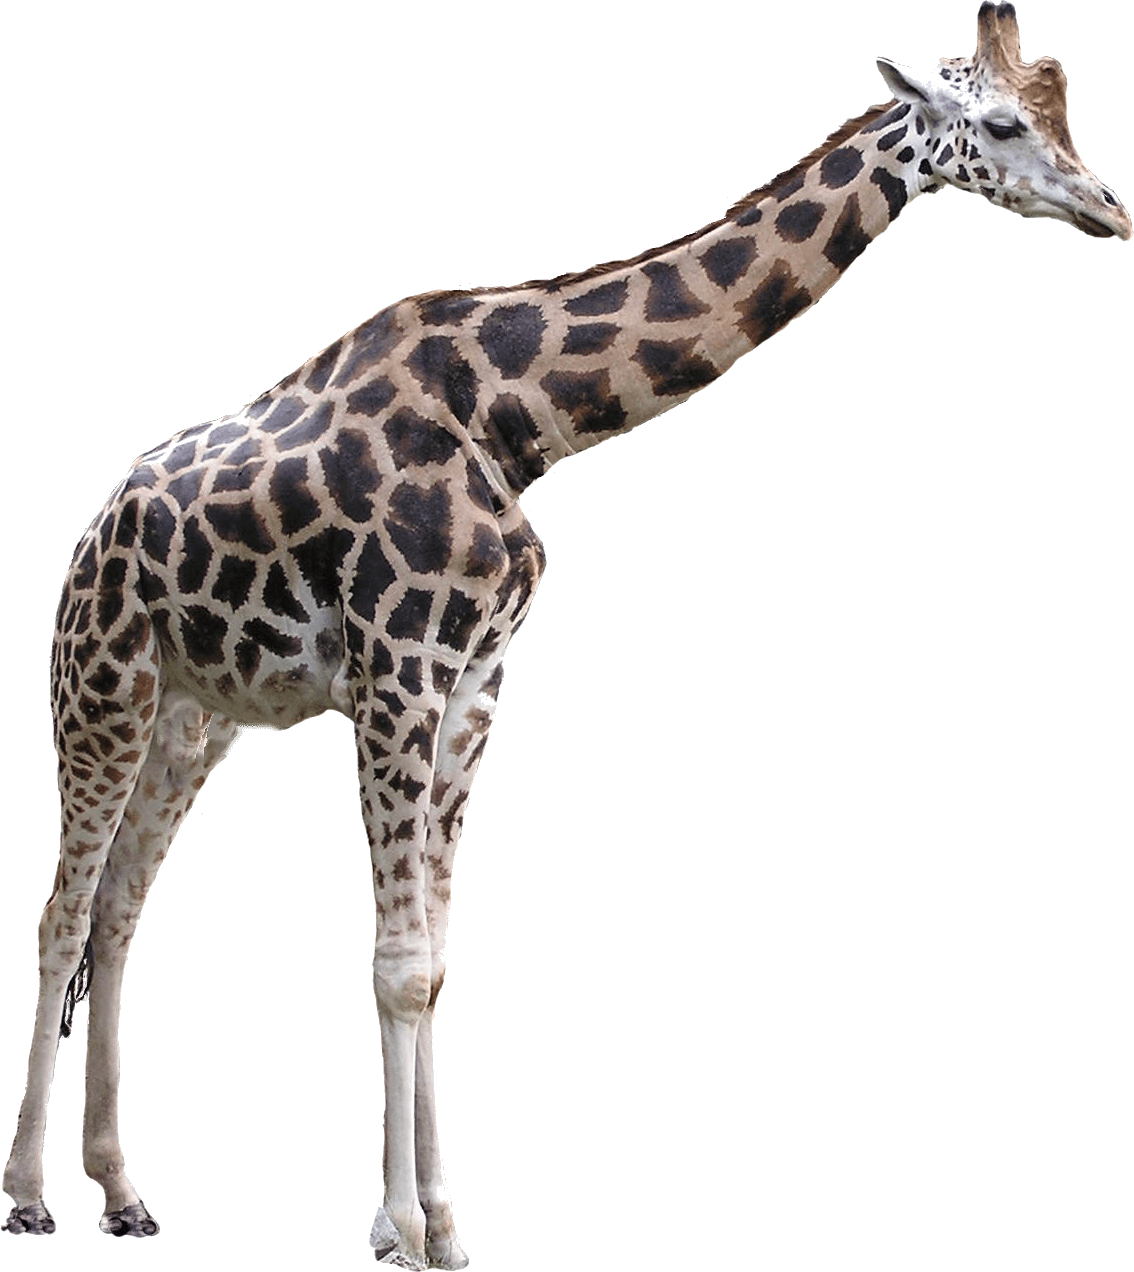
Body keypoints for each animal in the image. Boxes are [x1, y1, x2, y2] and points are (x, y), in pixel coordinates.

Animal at [4, 3, 1127, 1266]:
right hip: (99, 689)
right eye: (997, 120)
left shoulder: (474, 685)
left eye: (1059, 114)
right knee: (61, 913)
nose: (1111, 211)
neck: (524, 414)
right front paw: (404, 1224)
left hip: (195, 721)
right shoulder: (399, 671)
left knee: (121, 911)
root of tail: (88, 538)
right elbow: (397, 962)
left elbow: (435, 958)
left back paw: (122, 1193)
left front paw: (439, 1225)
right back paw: (31, 1195)